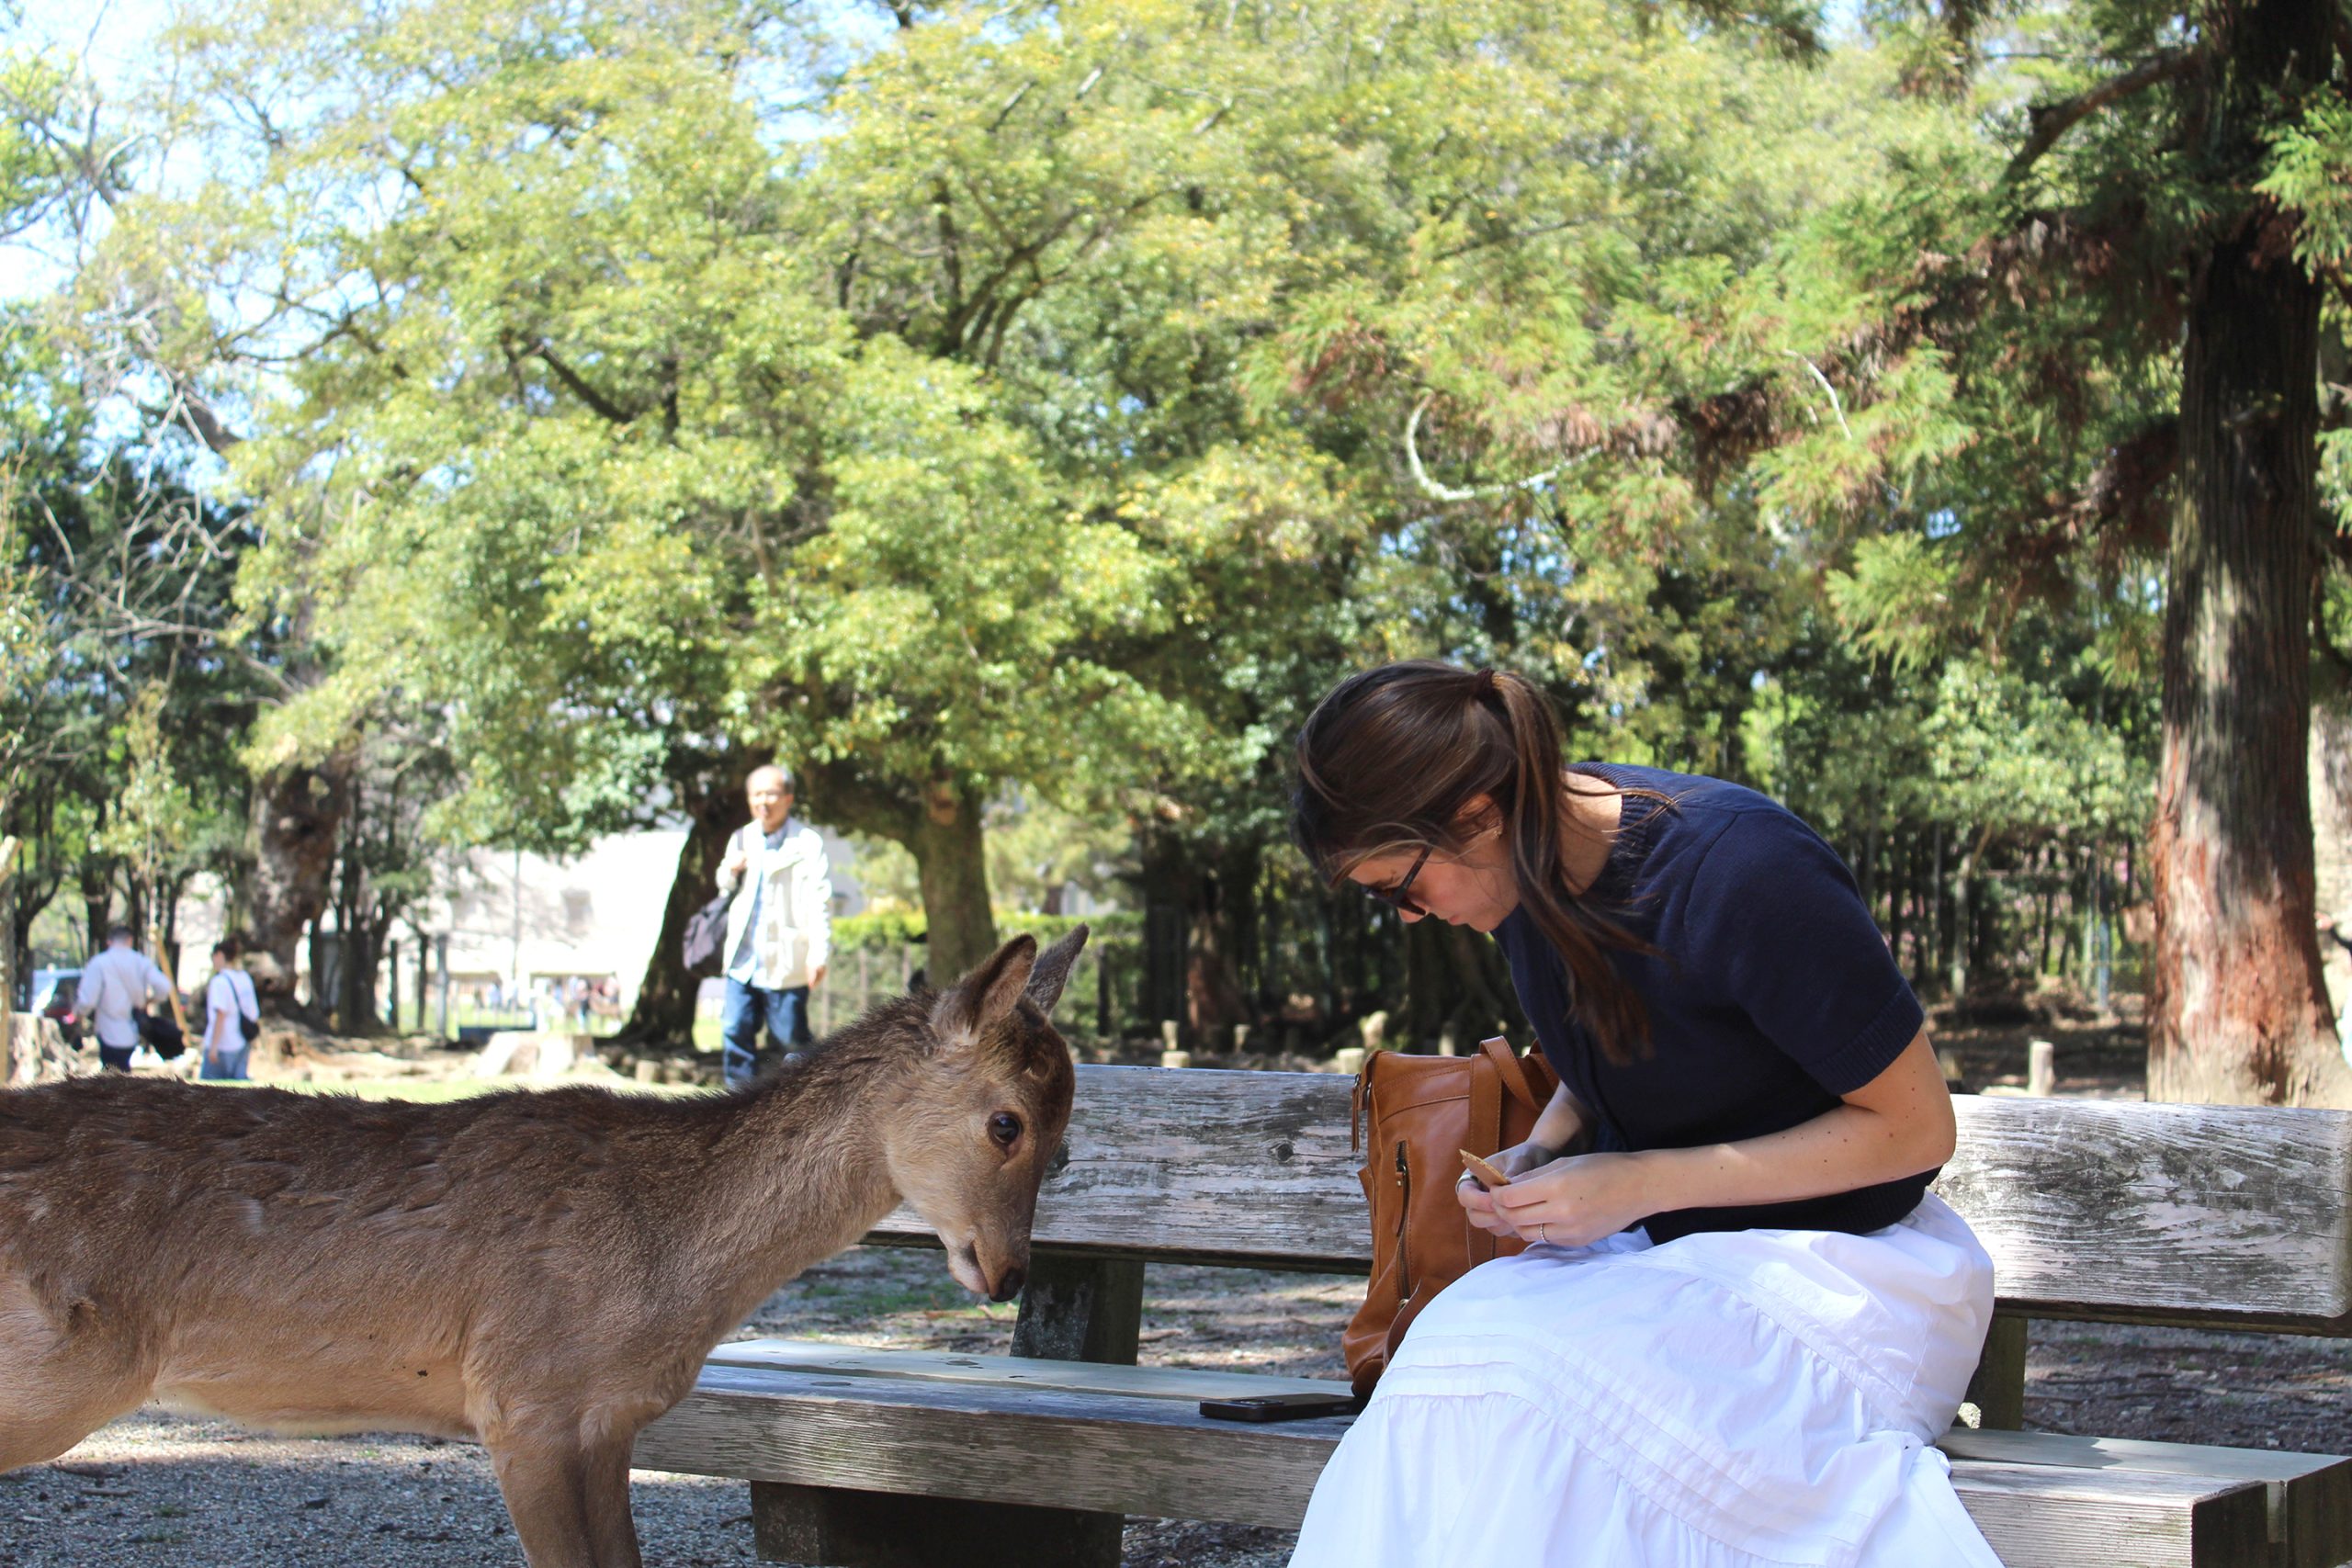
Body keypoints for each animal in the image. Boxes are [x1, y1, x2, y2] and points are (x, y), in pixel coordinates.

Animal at [0, 924, 1088, 1568]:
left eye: (1068, 1136)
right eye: (1006, 1122)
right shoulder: (521, 1398)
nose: (1007, 1270)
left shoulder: (604, 1421)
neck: (670, 1274)